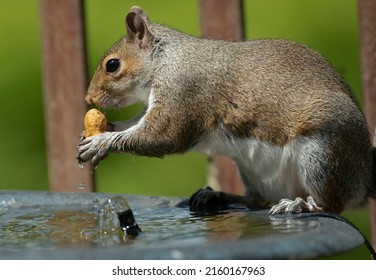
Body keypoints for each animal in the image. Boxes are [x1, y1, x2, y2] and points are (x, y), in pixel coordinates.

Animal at [77, 6, 376, 214]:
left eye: (112, 65)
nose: (89, 98)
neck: (165, 60)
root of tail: (364, 177)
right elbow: (135, 125)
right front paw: (101, 131)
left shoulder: (185, 92)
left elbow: (162, 135)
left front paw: (102, 142)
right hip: (253, 171)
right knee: (257, 199)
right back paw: (217, 195)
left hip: (321, 155)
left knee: (333, 204)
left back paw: (302, 205)